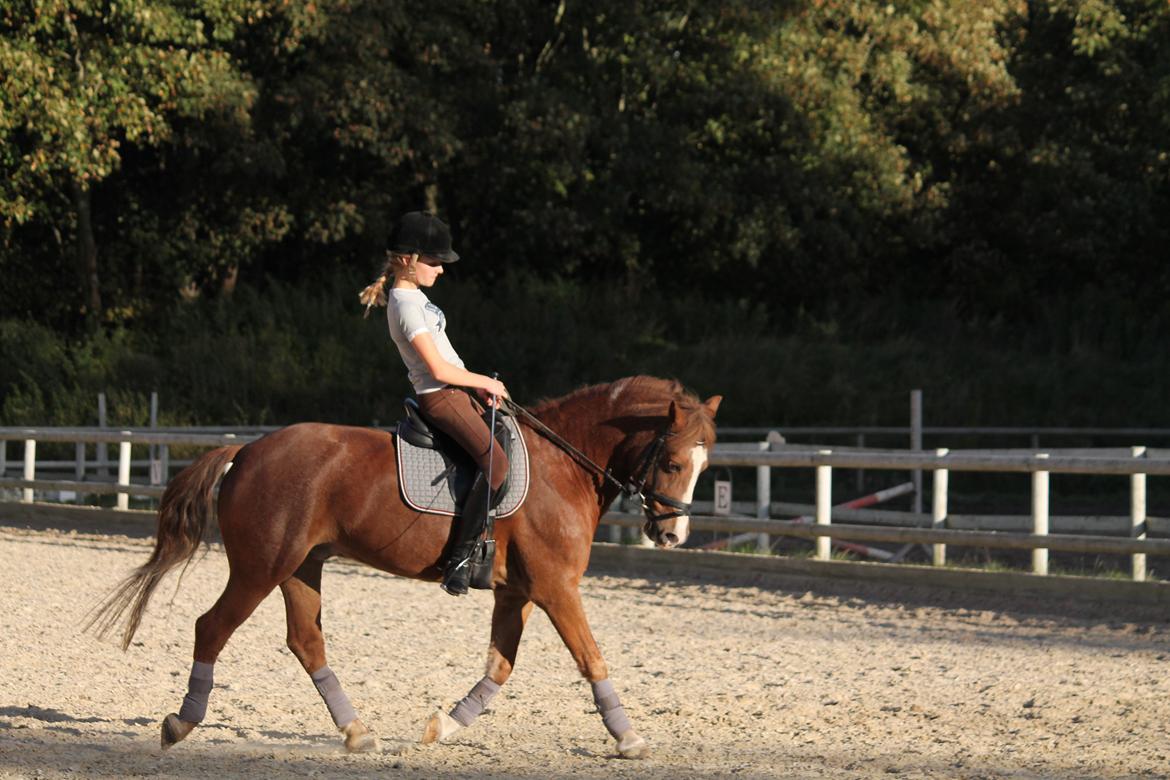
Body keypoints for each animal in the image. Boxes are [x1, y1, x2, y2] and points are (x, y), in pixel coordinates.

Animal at [91, 374, 716, 757]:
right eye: (672, 461)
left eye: (704, 466)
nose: (673, 534)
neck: (563, 467)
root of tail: (246, 451)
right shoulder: (556, 588)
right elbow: (591, 658)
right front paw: (629, 739)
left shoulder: (517, 591)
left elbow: (500, 668)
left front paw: (444, 724)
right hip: (260, 567)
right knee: (212, 627)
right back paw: (180, 723)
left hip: (301, 566)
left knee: (306, 641)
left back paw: (358, 733)